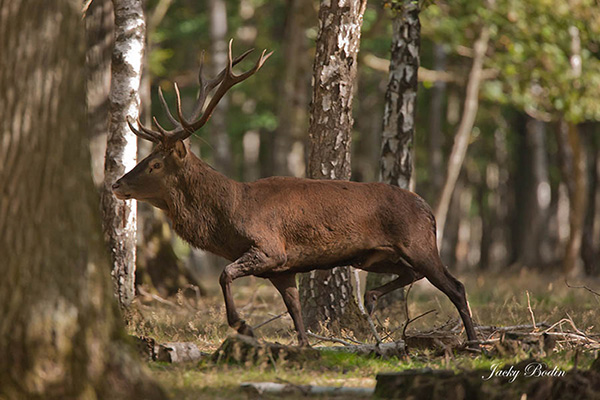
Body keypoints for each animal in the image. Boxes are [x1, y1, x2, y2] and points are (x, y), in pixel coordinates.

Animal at [112, 40, 478, 346]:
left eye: (155, 163)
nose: (117, 184)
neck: (230, 218)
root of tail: (429, 210)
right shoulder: (282, 269)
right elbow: (296, 313)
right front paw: (303, 347)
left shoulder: (271, 250)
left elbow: (224, 273)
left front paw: (244, 326)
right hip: (379, 255)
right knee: (412, 274)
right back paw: (372, 300)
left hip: (418, 242)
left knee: (456, 286)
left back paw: (473, 342)